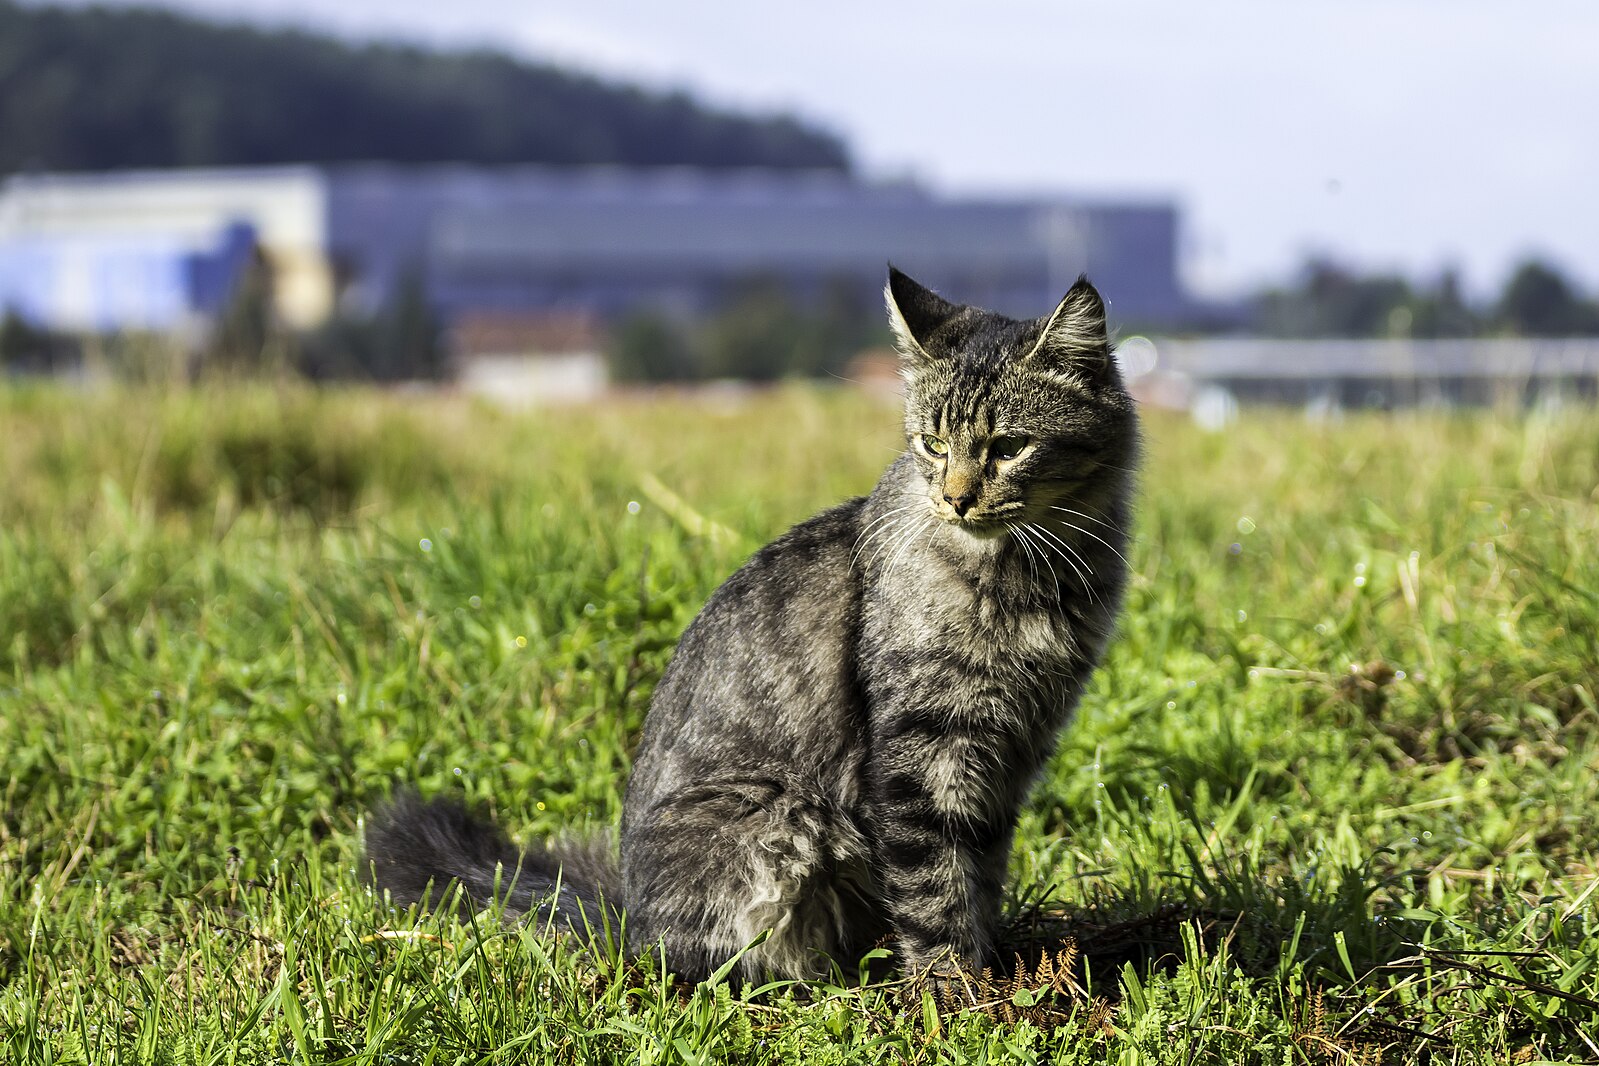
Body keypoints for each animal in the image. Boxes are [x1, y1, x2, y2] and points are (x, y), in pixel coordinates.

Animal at [362, 266, 1138, 984]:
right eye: (933, 444)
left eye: (1008, 447)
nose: (955, 500)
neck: (1032, 577)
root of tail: (625, 915)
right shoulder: (923, 748)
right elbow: (933, 888)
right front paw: (956, 998)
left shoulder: (1013, 749)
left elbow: (978, 873)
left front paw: (995, 973)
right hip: (777, 819)